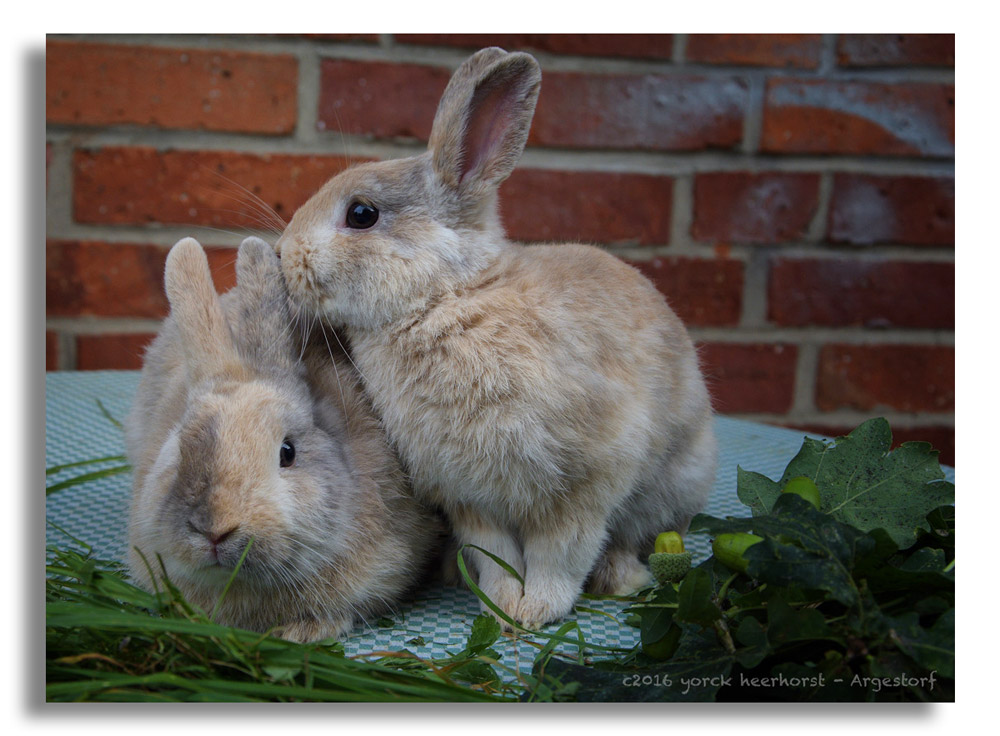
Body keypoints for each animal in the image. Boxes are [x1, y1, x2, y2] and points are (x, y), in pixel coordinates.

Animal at [276, 47, 717, 629]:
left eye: (362, 214)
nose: (283, 257)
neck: (446, 300)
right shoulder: (471, 498)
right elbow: (496, 555)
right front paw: (503, 607)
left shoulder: (582, 483)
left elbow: (562, 552)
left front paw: (536, 612)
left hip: (671, 489)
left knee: (638, 538)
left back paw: (619, 578)